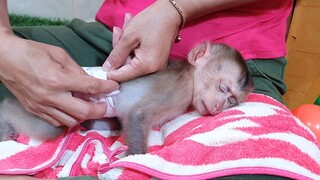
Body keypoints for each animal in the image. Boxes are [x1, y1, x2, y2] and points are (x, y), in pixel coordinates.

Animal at [0, 41, 255, 155]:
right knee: (45, 126)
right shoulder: (178, 89)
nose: (219, 106)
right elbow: (139, 114)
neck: (190, 77)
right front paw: (133, 159)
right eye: (223, 88)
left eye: (232, 101)